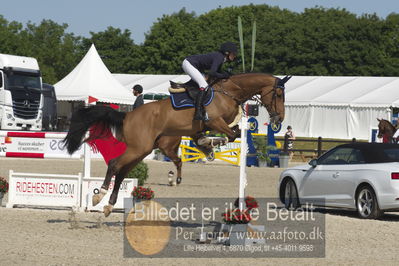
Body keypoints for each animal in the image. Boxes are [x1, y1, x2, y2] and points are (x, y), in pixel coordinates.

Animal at [63, 73, 290, 216]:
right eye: (278, 94)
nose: (279, 118)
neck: (229, 92)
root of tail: (127, 115)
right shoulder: (215, 121)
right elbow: (230, 135)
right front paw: (209, 145)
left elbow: (231, 134)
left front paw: (206, 145)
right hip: (138, 148)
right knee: (114, 165)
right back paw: (98, 197)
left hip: (141, 150)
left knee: (121, 172)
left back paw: (109, 206)